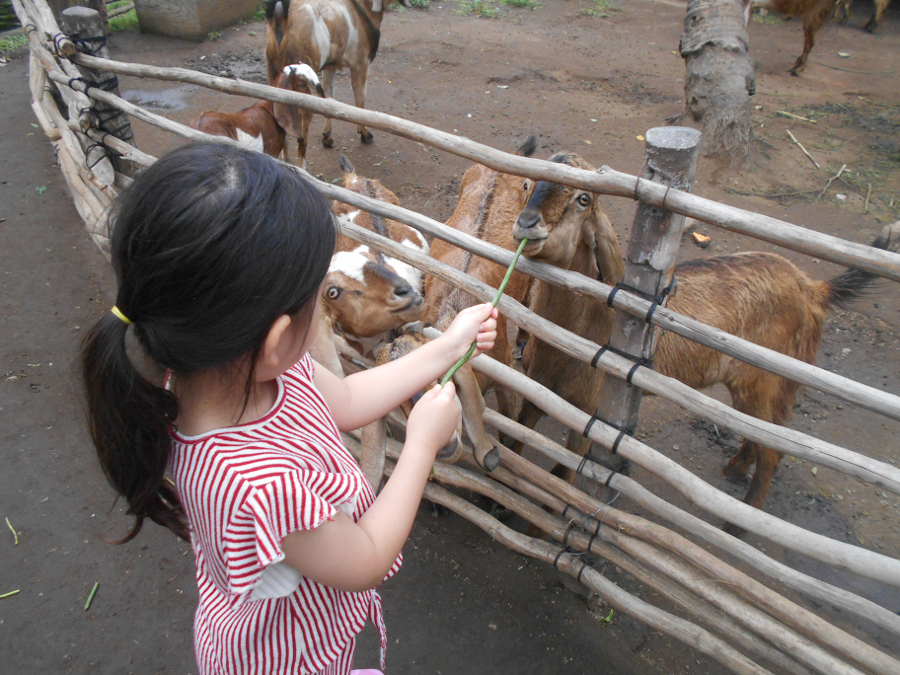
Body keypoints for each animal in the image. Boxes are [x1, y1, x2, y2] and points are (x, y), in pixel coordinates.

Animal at [510, 151, 896, 532]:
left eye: (583, 199)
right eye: (529, 183)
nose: (527, 224)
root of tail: (811, 287)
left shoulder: (588, 412)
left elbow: (561, 475)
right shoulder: (537, 388)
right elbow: (515, 436)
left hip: (764, 381)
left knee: (773, 450)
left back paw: (739, 523)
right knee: (761, 433)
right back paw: (735, 469)